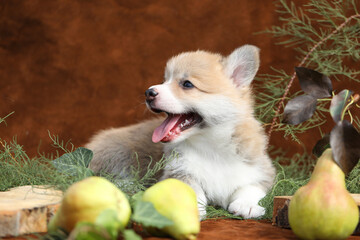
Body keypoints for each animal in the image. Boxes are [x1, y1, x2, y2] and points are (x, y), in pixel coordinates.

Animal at [86, 45, 276, 219]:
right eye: (164, 80)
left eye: (187, 84)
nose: (148, 92)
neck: (210, 146)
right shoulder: (177, 172)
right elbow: (191, 189)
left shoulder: (262, 170)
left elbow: (250, 187)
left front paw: (247, 205)